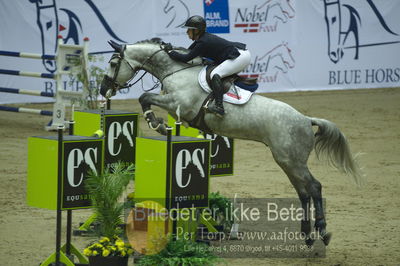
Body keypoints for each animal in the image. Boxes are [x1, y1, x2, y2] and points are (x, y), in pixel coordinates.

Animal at [101, 38, 362, 246]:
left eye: (113, 64)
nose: (104, 90)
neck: (176, 70)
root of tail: (307, 120)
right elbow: (146, 98)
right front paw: (159, 124)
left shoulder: (178, 104)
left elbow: (145, 97)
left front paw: (157, 123)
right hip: (287, 161)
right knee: (304, 192)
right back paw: (307, 235)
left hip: (291, 160)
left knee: (314, 187)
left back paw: (322, 231)